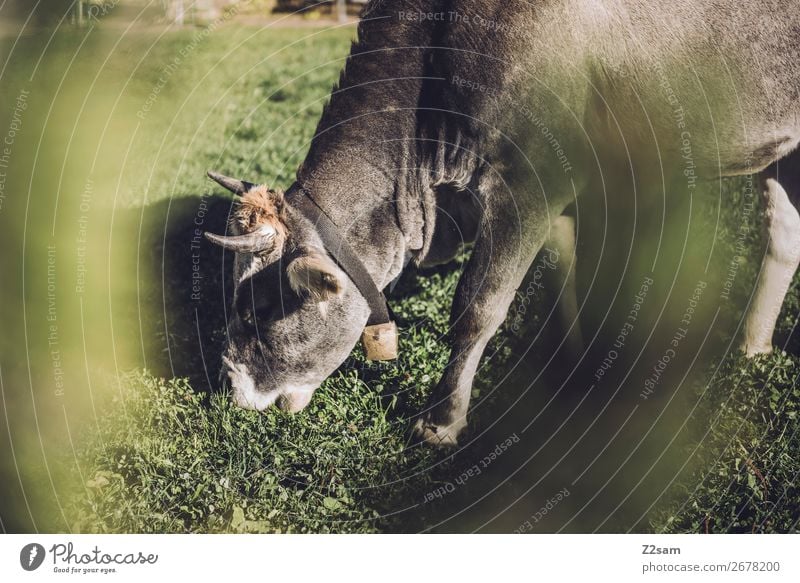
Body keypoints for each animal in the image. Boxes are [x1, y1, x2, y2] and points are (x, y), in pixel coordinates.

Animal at [205, 1, 800, 448]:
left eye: (259, 309)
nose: (231, 391)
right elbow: (560, 276)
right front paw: (567, 364)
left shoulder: (527, 184)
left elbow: (478, 306)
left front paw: (441, 422)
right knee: (783, 240)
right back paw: (753, 346)